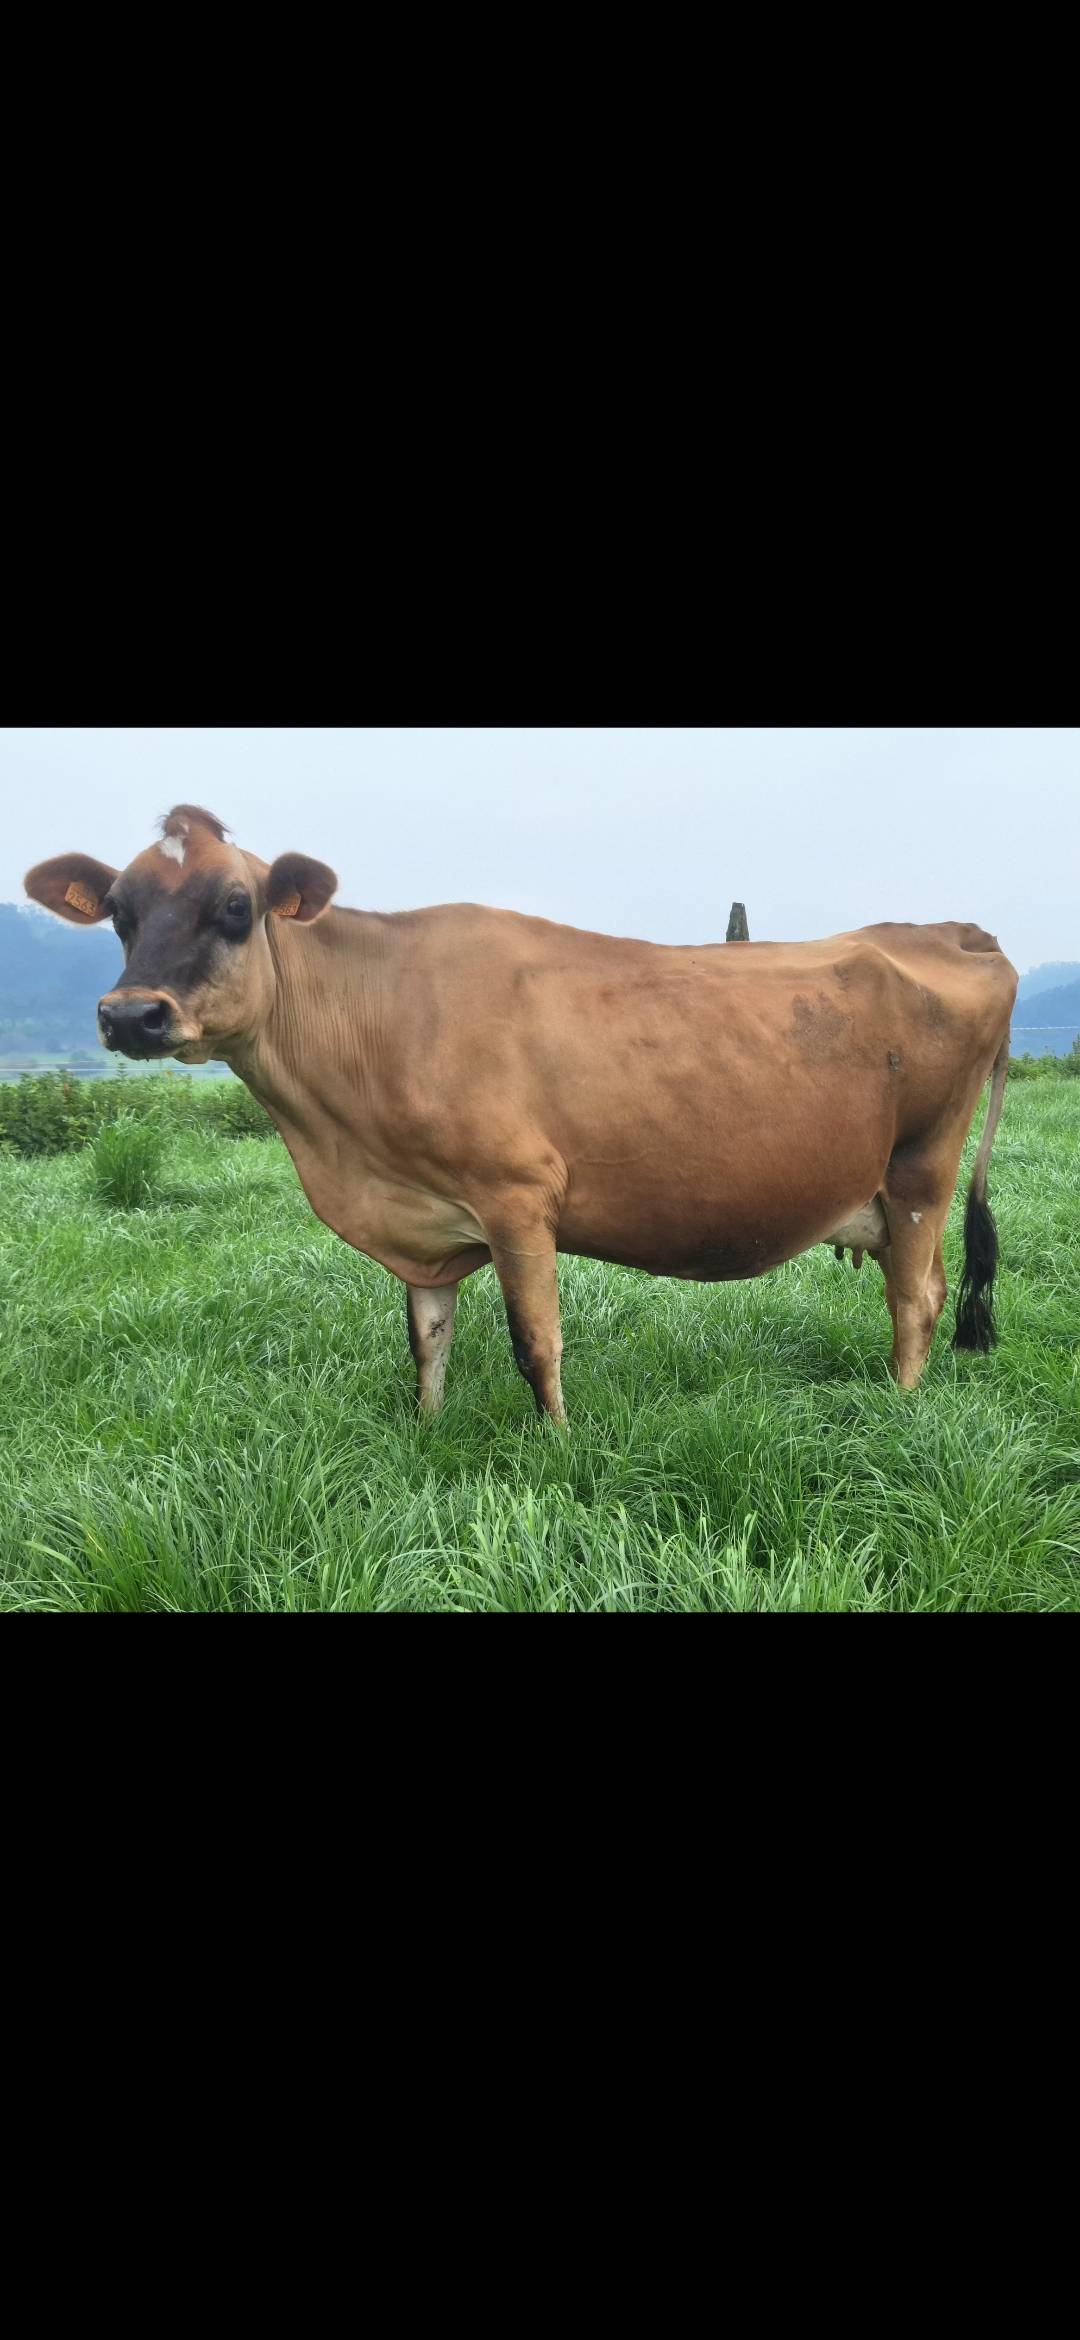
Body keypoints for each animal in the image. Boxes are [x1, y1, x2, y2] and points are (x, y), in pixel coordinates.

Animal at [25, 806, 1018, 1422]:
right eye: (118, 912)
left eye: (235, 905)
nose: (131, 1015)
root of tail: (953, 931)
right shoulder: (422, 1219)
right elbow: (427, 1340)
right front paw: (426, 1432)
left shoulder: (517, 1196)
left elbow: (535, 1344)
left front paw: (559, 1448)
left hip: (919, 1171)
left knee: (918, 1299)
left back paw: (901, 1407)